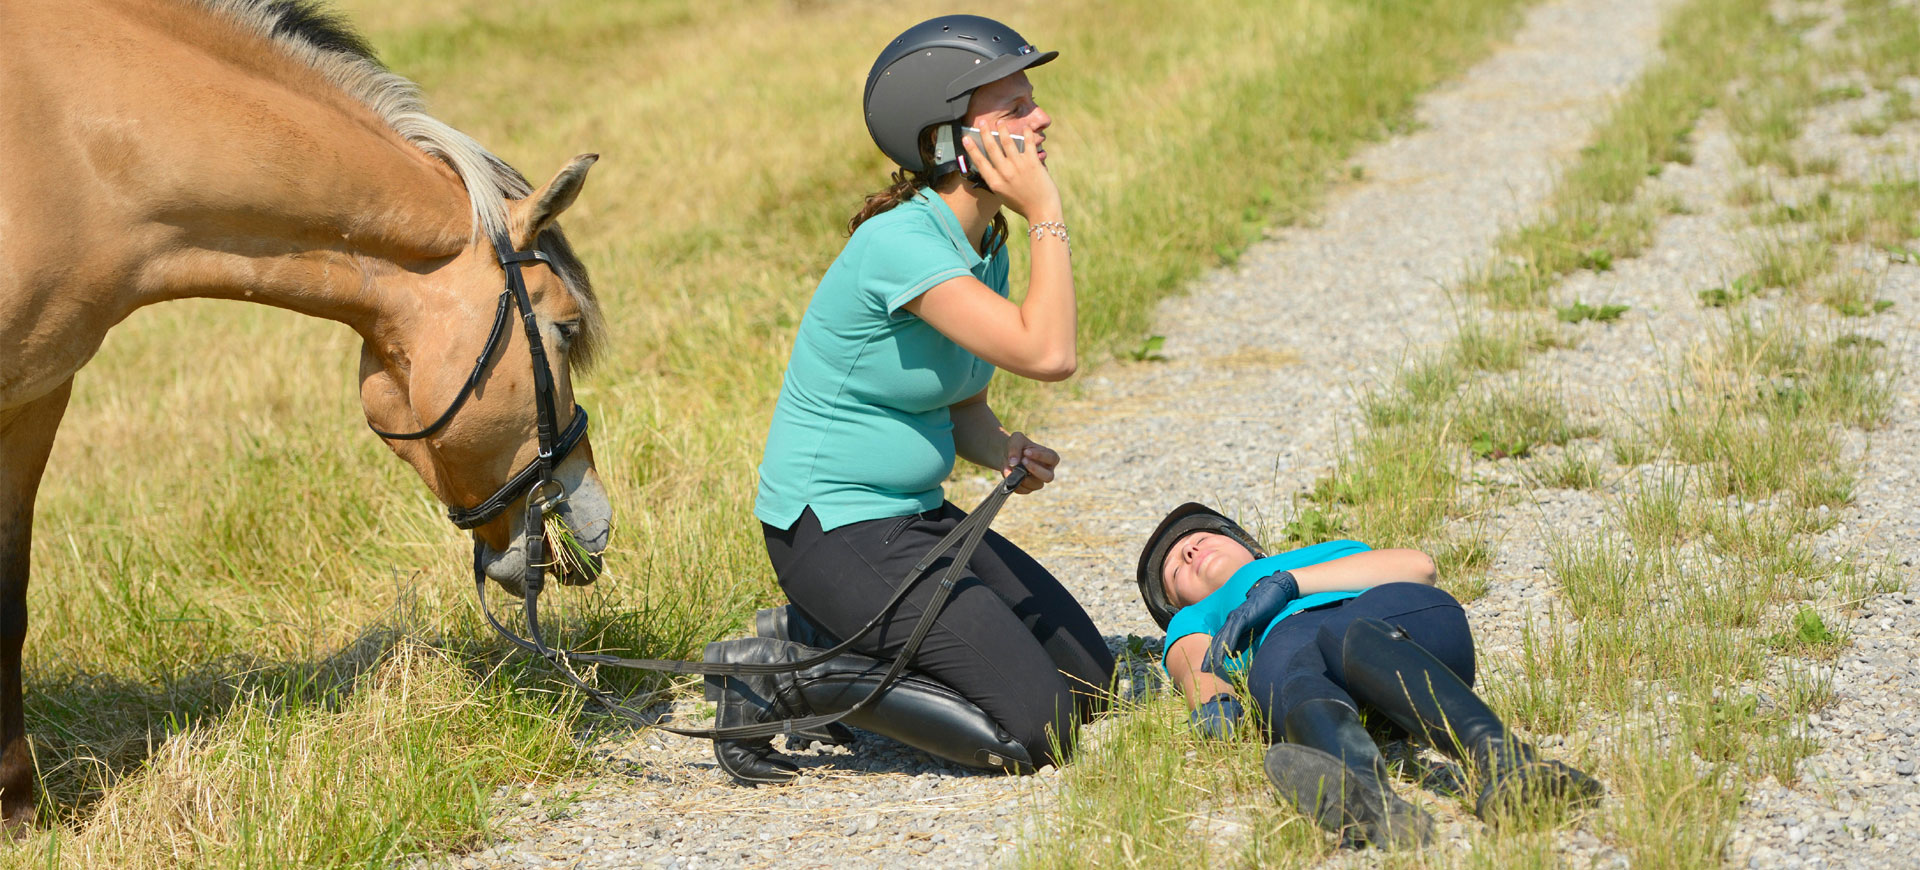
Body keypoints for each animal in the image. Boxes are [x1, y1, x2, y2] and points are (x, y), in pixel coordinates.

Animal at [0, 0, 614, 825]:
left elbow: (10, 595)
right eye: (566, 330)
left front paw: (16, 806)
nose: (594, 524)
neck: (63, 143)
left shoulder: (37, 396)